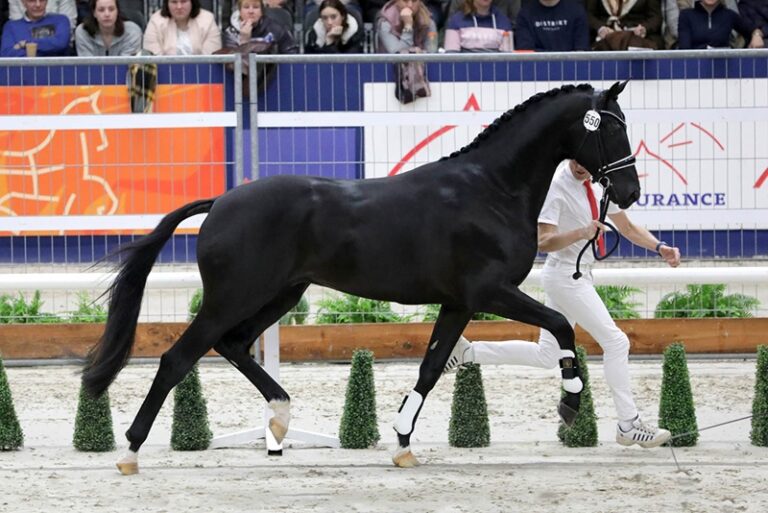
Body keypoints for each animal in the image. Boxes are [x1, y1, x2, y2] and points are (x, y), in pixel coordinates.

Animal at [83, 81, 641, 474]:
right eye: (611, 128)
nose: (630, 192)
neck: (491, 189)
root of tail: (220, 201)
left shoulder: (459, 302)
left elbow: (431, 367)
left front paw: (402, 442)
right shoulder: (491, 292)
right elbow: (561, 326)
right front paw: (570, 404)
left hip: (280, 294)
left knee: (233, 345)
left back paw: (280, 418)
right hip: (236, 296)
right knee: (179, 357)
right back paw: (130, 452)